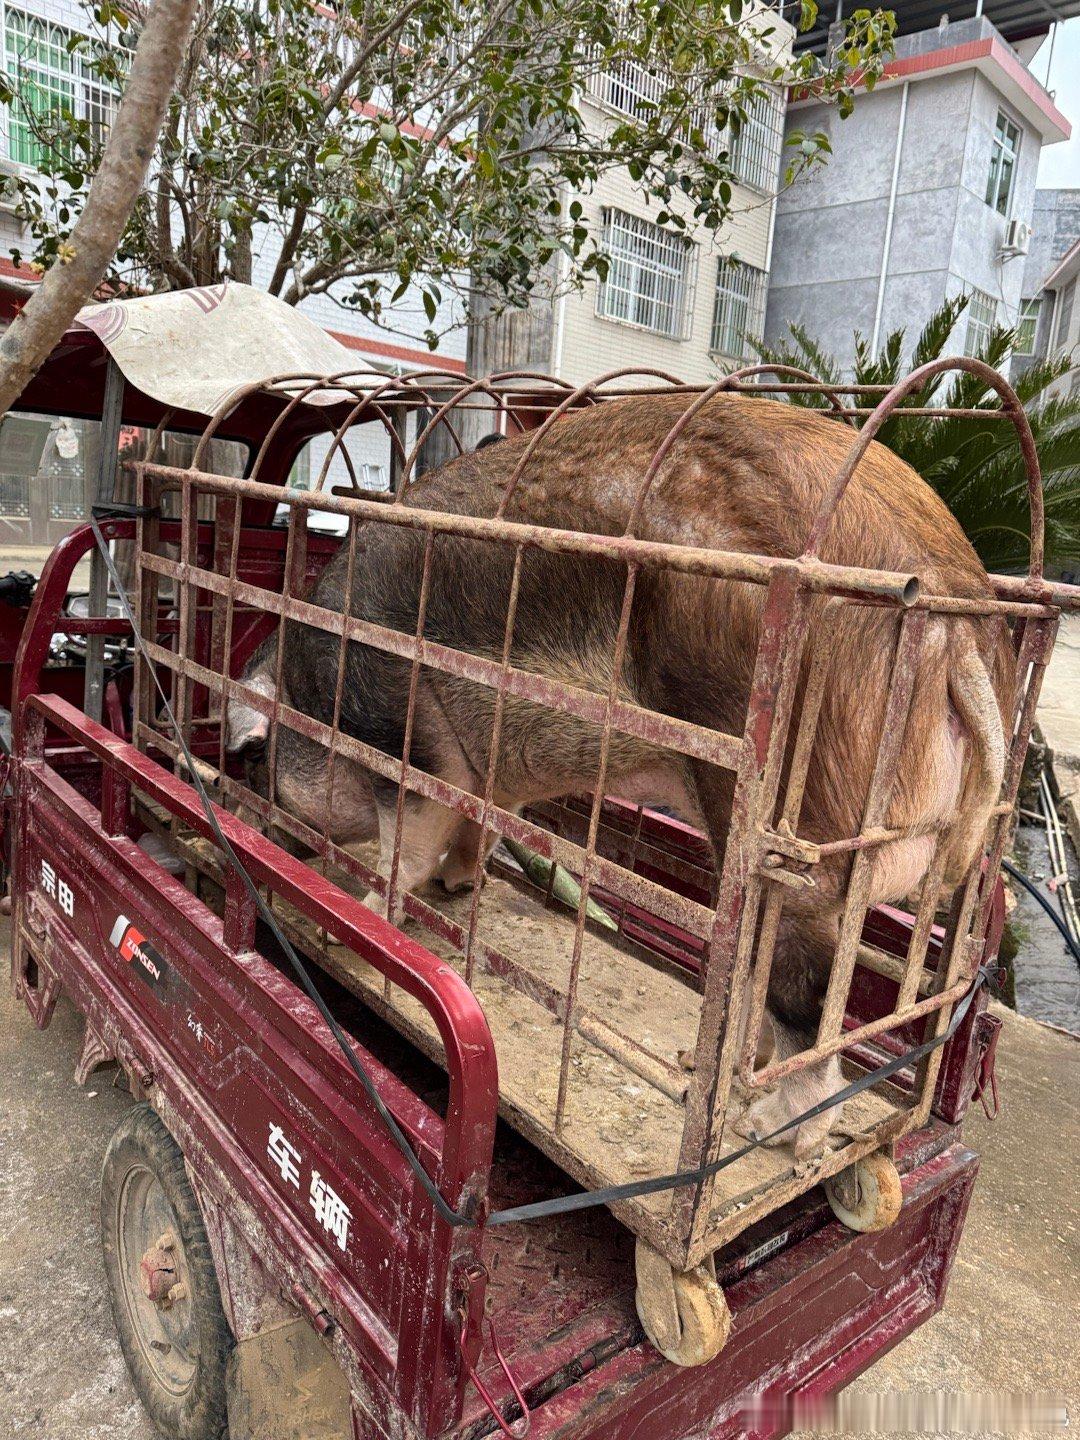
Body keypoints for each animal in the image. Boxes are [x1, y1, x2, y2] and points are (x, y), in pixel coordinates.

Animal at [224, 394, 1013, 1157]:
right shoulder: (480, 774)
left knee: (812, 1009)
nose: (257, 833)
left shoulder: (403, 739)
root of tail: (954, 617)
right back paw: (721, 1077)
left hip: (806, 819)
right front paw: (461, 885)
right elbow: (476, 829)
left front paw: (356, 913)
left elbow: (404, 850)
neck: (313, 688)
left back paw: (763, 1132)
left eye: (253, 760)